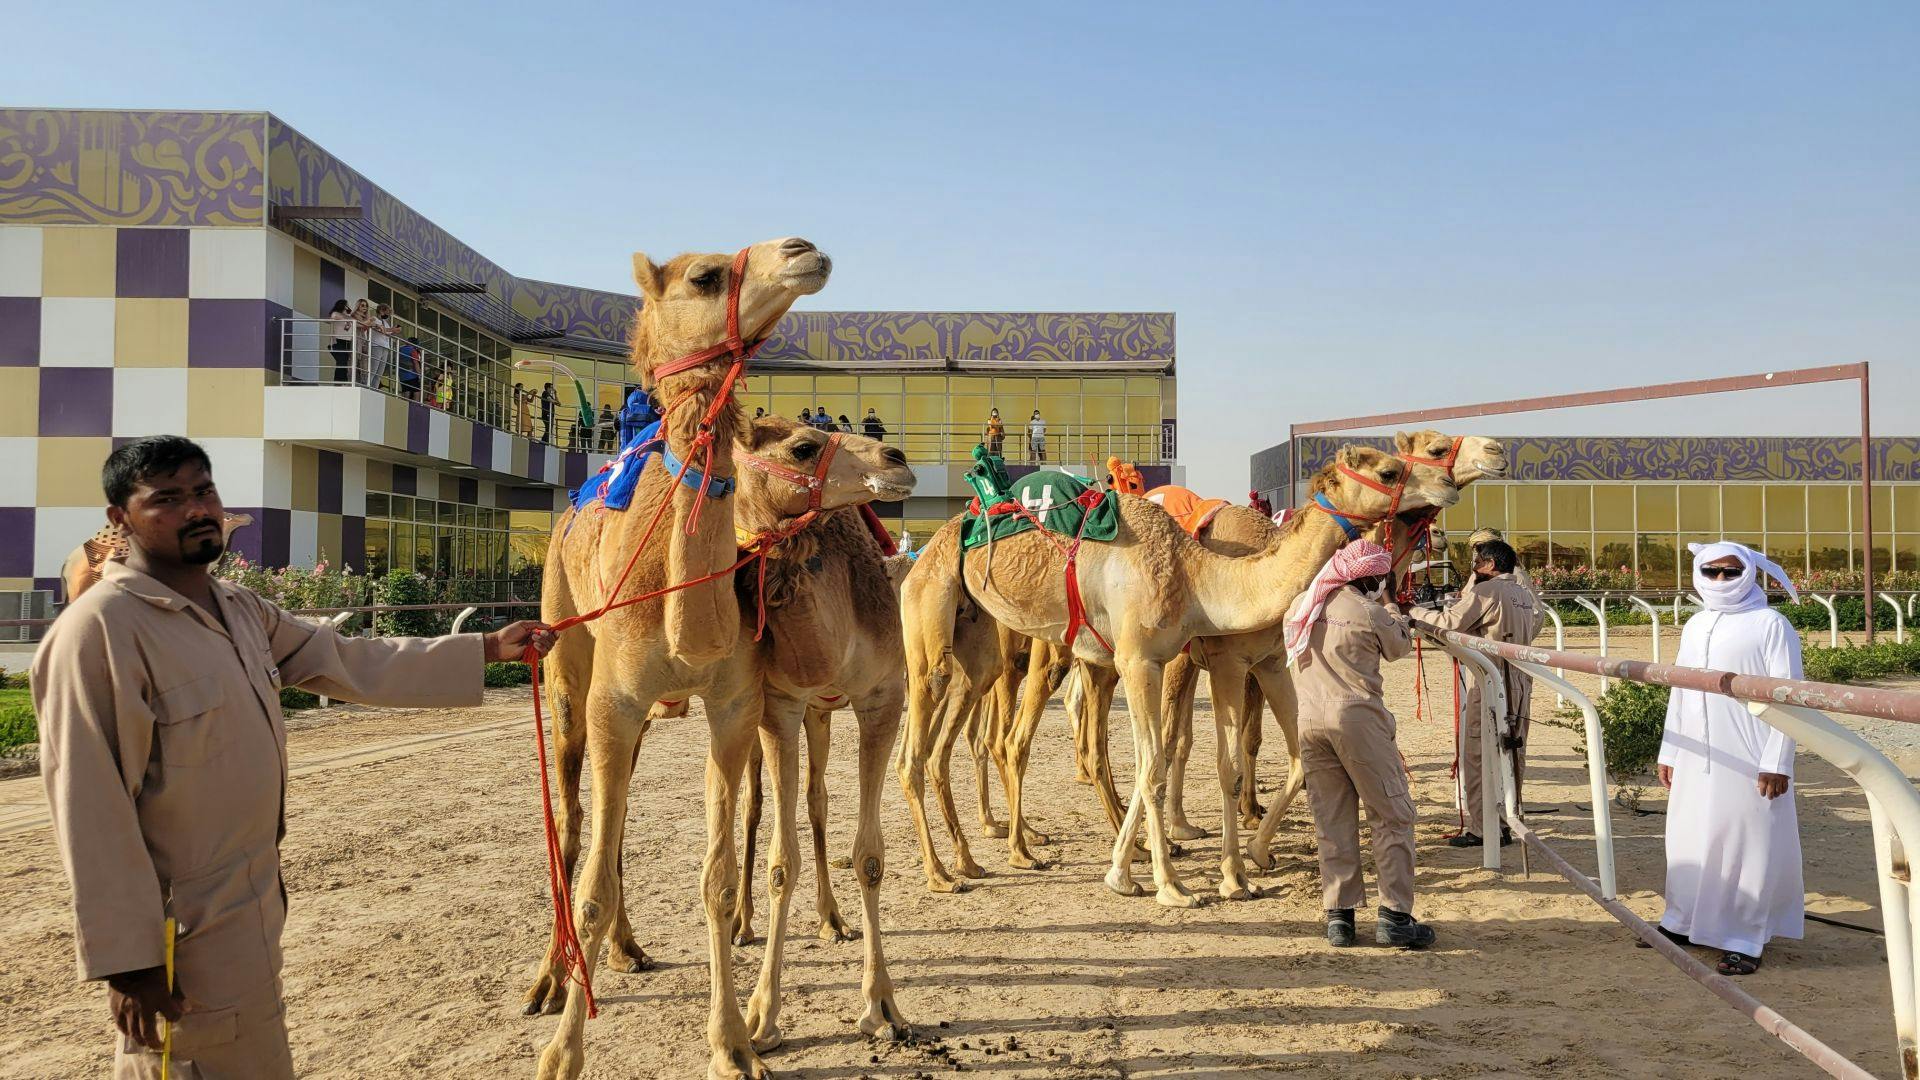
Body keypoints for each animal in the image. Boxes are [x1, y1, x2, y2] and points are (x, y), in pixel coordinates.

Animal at [530, 236, 919, 1080]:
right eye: (705, 276)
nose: (898, 456)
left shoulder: (792, 700)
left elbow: (849, 855)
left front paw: (871, 1008)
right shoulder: (648, 701)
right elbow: (609, 877)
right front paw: (564, 1052)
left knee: (791, 808)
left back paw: (652, 945)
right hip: (566, 659)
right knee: (577, 823)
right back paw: (553, 979)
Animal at [899, 445, 1460, 905]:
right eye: (1390, 470)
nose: (1448, 485)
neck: (1198, 577)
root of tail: (925, 551)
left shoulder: (1249, 662)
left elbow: (1237, 756)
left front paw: (1205, 863)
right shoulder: (1150, 660)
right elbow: (1156, 763)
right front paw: (1173, 884)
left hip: (988, 648)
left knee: (973, 737)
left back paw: (974, 858)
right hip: (946, 629)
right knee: (945, 744)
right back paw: (961, 867)